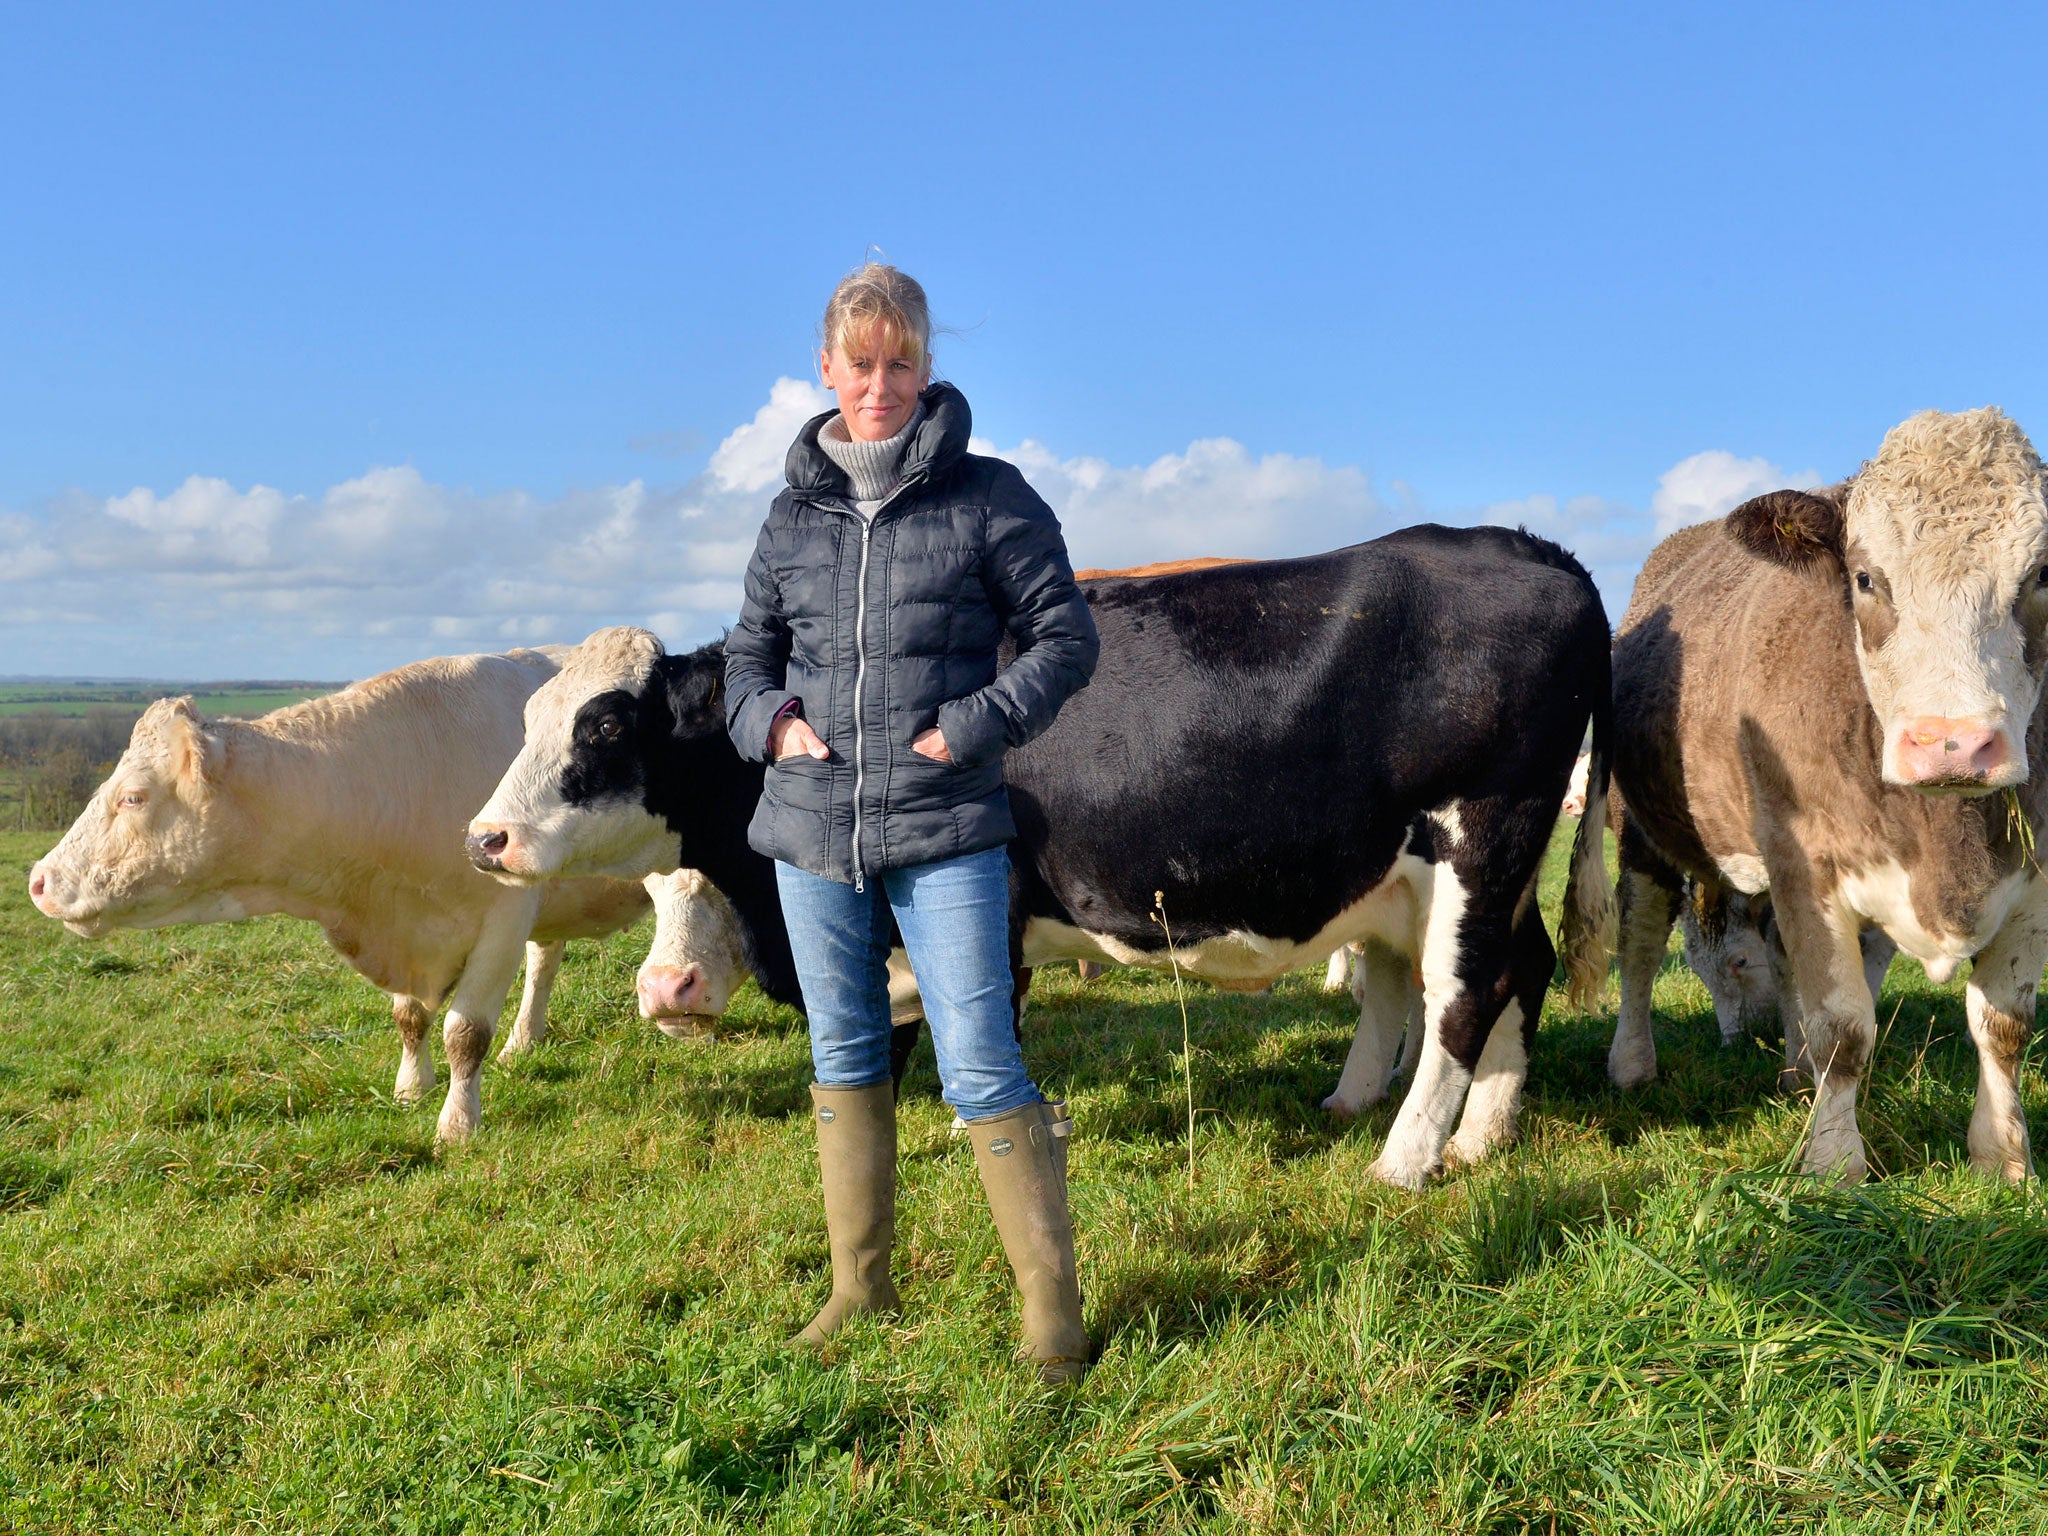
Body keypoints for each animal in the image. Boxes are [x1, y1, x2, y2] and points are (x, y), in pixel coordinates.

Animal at [24, 651, 647, 1146]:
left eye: (132, 797)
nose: (38, 881)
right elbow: (410, 1019)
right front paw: (410, 1088)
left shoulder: (504, 917)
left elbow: (464, 1033)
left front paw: (457, 1124)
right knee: (546, 959)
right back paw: (524, 1041)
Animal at [468, 528, 1613, 1187]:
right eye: (525, 719)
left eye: (606, 726)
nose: (484, 838)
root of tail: (1523, 545)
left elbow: (958, 1033)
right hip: (1443, 870)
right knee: (1509, 971)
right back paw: (1465, 1132)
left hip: (1484, 836)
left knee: (1462, 995)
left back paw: (1405, 1160)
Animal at [1589, 405, 2048, 1179]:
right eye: (1864, 578)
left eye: (2042, 575)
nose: (1953, 744)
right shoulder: (1806, 861)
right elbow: (1843, 1025)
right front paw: (1834, 1164)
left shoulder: (2036, 887)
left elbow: (2002, 1026)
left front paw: (2003, 1159)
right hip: (1644, 835)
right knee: (1643, 945)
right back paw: (1632, 1065)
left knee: (1778, 958)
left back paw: (1794, 1072)